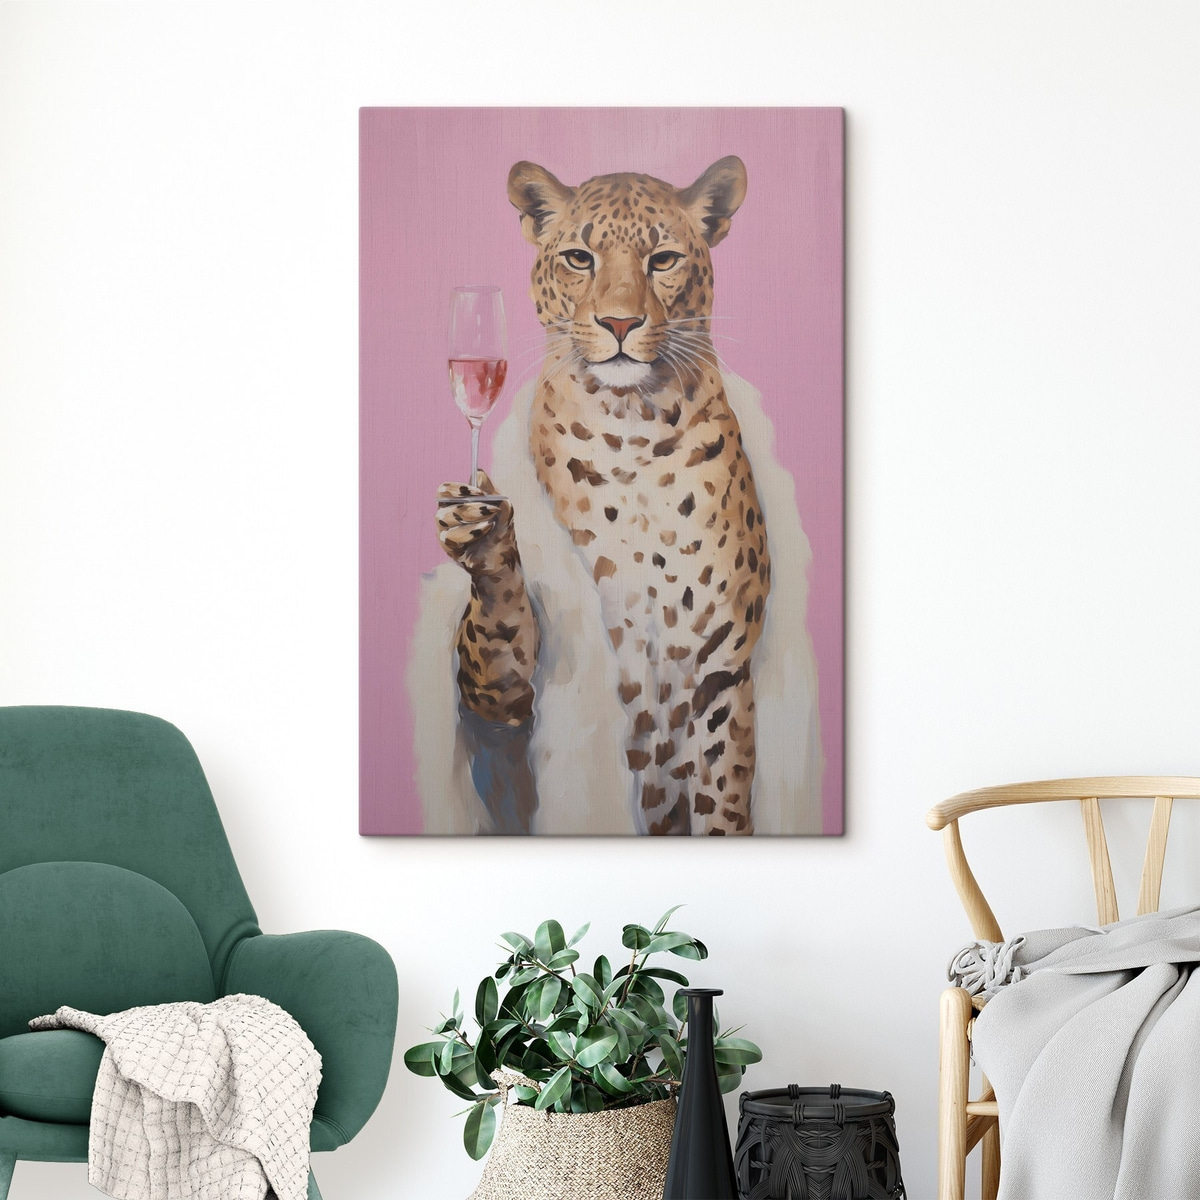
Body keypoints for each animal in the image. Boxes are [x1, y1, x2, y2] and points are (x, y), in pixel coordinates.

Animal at [436, 155, 771, 836]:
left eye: (663, 259)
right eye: (579, 258)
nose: (619, 323)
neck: (631, 429)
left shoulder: (719, 670)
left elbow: (722, 802)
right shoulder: (504, 690)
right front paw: (482, 535)